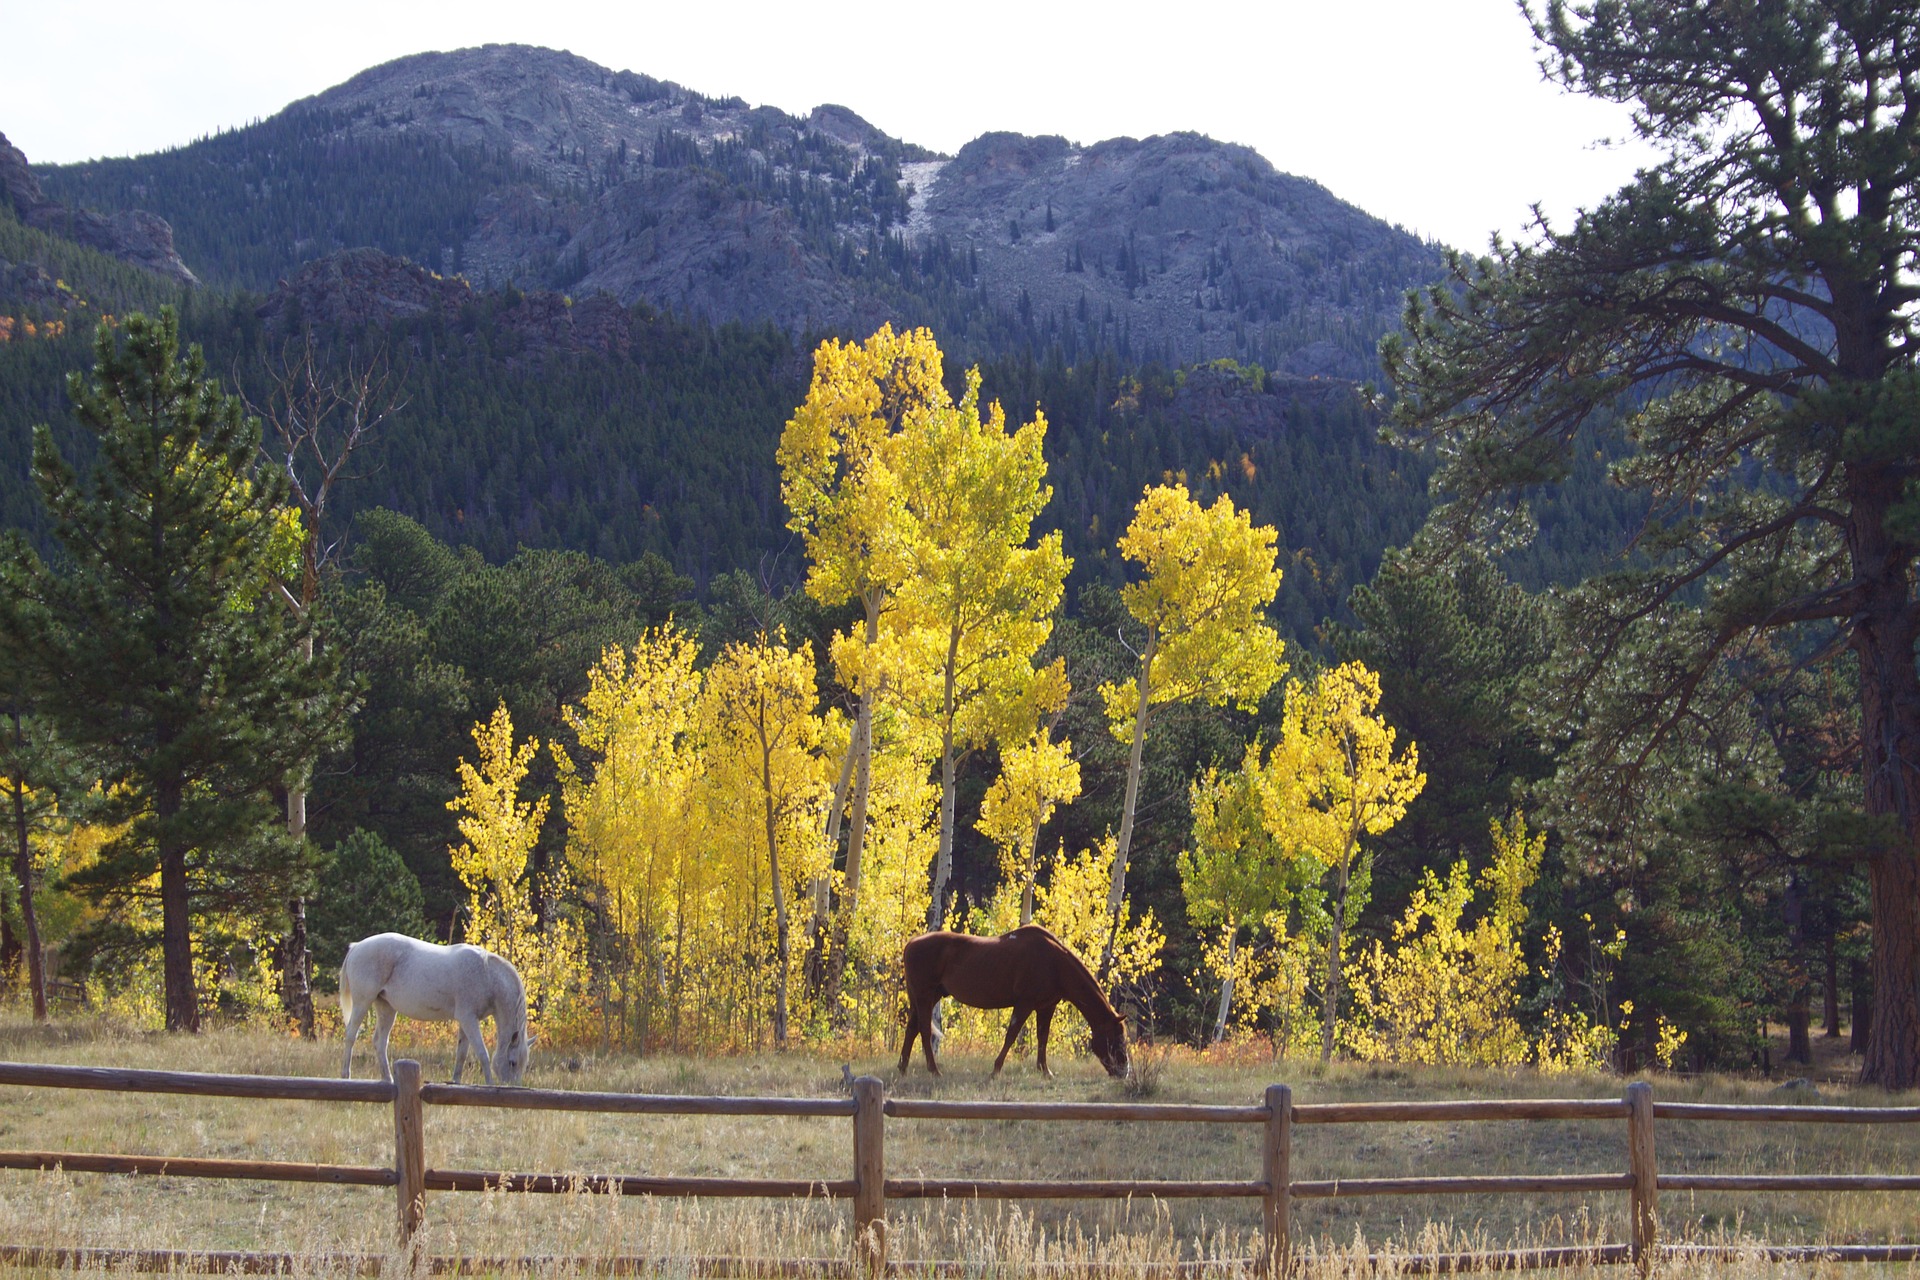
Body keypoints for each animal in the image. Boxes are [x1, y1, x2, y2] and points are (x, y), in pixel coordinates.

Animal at [339, 936, 533, 1090]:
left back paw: (388, 1079)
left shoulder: (466, 1021)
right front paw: (490, 1085)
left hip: (386, 1008)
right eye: (513, 1062)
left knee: (380, 1042)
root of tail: (357, 946)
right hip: (362, 1003)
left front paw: (455, 1082)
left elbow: (461, 1054)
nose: (516, 1087)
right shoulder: (468, 1019)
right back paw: (345, 1076)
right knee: (350, 1035)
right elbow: (482, 1053)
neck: (487, 975)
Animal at [894, 924, 1121, 1074]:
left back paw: (903, 1068)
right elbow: (1011, 1035)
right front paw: (996, 1069)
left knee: (912, 1029)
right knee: (923, 1030)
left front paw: (1044, 1071)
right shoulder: (1024, 1004)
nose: (1123, 1070)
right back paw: (933, 1070)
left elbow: (1043, 1037)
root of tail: (911, 943)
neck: (1054, 963)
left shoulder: (1046, 1007)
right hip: (924, 996)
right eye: (1115, 1038)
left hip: (928, 997)